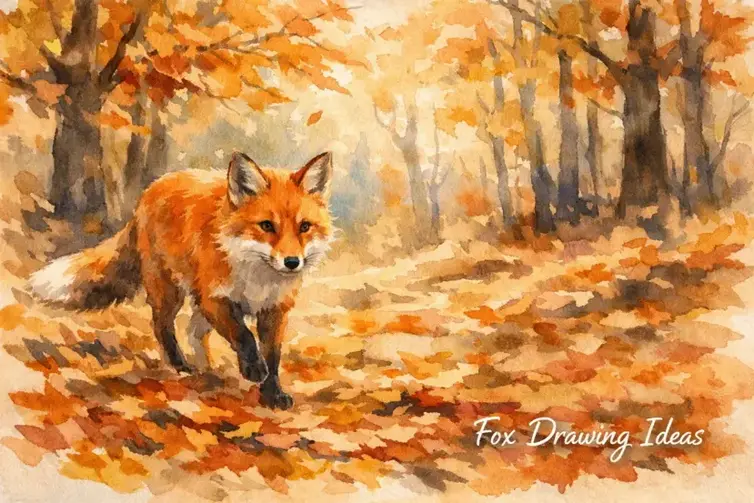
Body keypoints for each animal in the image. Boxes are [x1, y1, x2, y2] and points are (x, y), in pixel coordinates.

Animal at [28, 151, 335, 409]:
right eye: (267, 226)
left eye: (304, 227)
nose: (292, 262)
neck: (256, 276)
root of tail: (150, 190)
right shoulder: (215, 298)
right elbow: (244, 336)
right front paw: (253, 370)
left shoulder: (275, 309)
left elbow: (273, 356)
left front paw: (273, 393)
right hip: (169, 292)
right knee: (162, 325)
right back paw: (181, 365)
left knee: (193, 331)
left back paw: (207, 370)